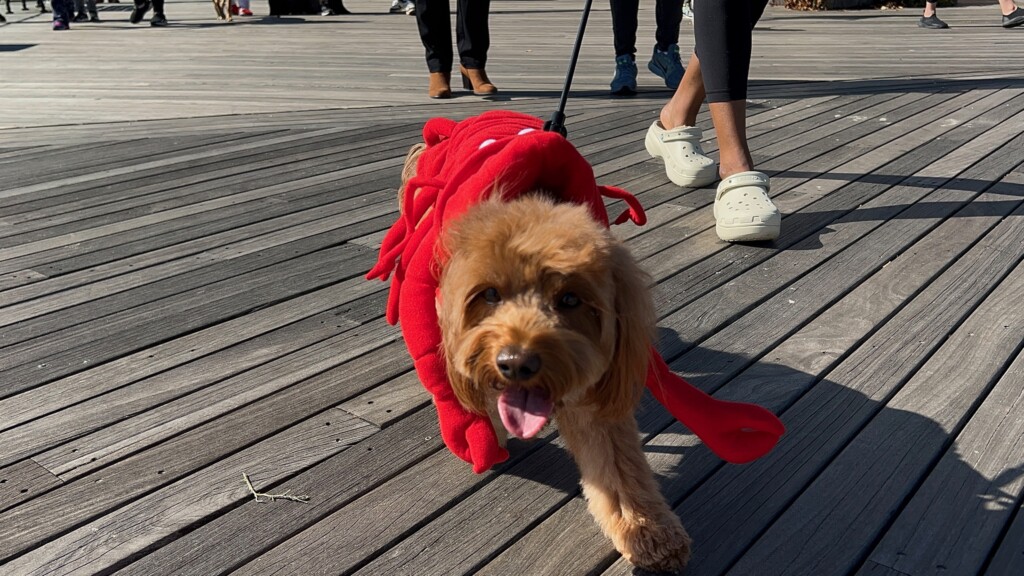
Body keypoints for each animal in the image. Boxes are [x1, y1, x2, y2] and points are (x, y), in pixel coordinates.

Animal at [399, 140, 688, 569]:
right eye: (489, 294)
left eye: (569, 299)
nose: (516, 363)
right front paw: (485, 430)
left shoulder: (594, 394)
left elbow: (617, 469)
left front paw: (646, 530)